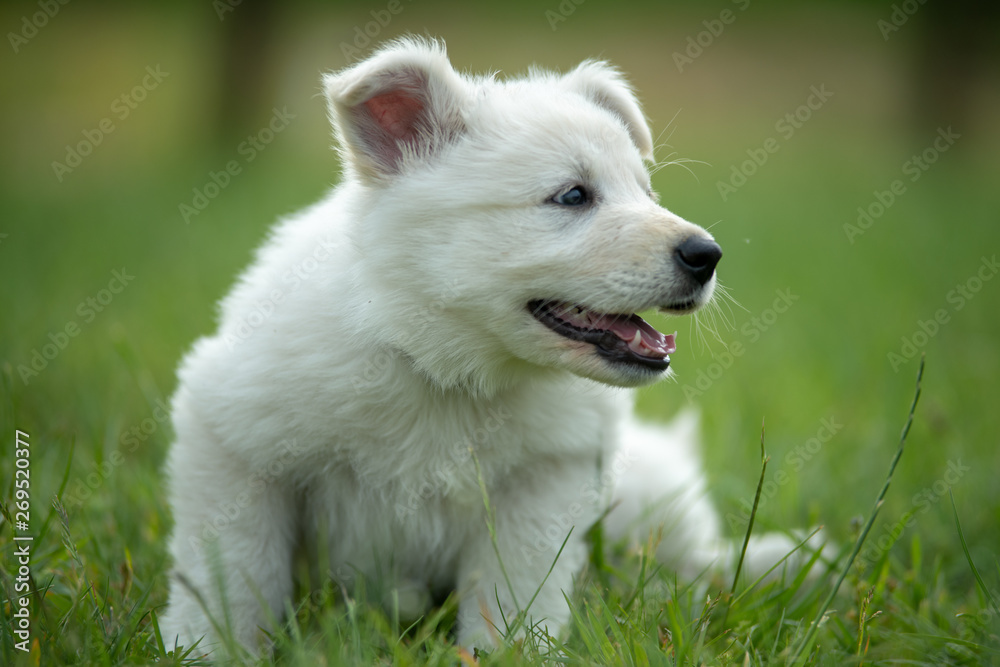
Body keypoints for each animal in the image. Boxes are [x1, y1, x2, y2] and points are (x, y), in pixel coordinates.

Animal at [158, 37, 812, 656]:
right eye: (573, 196)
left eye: (646, 193)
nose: (707, 255)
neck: (446, 367)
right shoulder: (234, 444)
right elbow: (231, 573)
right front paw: (207, 648)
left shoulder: (545, 481)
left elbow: (513, 595)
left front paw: (506, 654)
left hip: (646, 486)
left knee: (694, 558)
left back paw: (784, 564)